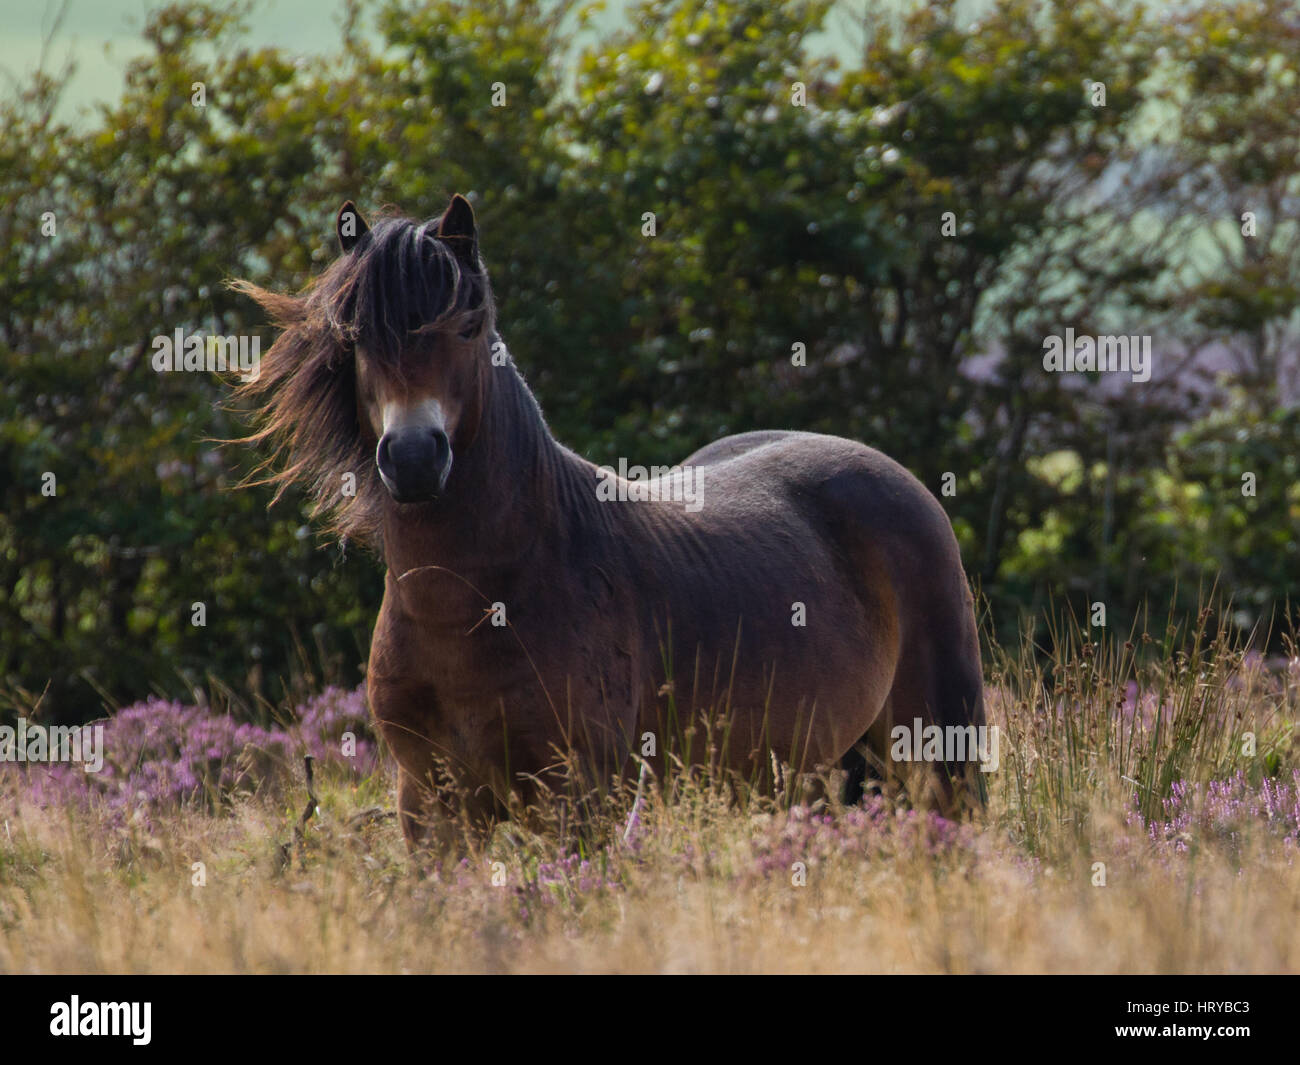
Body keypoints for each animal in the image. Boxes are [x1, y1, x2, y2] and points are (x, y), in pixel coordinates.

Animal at [233, 196, 982, 853]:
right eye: (356, 337)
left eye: (467, 329)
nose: (415, 458)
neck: (482, 600)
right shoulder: (430, 804)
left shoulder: (578, 794)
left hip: (935, 752)